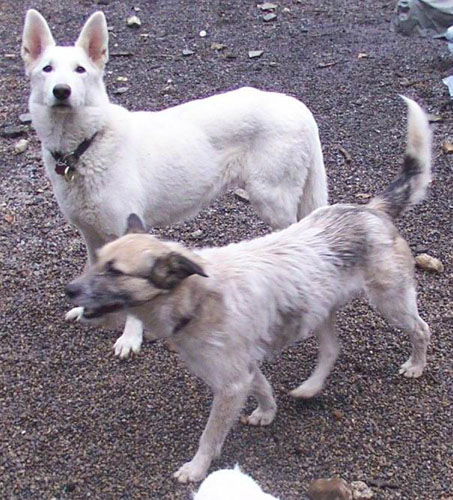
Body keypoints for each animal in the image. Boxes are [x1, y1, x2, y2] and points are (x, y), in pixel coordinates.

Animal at [21, 9, 326, 358]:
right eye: (47, 69)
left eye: (80, 70)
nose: (61, 90)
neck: (87, 145)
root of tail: (298, 106)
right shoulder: (90, 233)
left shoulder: (125, 232)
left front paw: (130, 336)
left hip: (270, 200)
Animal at [66, 95, 430, 482]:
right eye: (97, 260)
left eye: (115, 271)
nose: (69, 291)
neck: (198, 298)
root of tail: (371, 210)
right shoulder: (243, 370)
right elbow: (264, 388)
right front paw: (267, 413)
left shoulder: (230, 383)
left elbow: (210, 435)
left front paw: (196, 469)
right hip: (317, 311)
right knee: (332, 349)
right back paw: (310, 388)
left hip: (390, 300)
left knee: (421, 329)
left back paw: (416, 365)